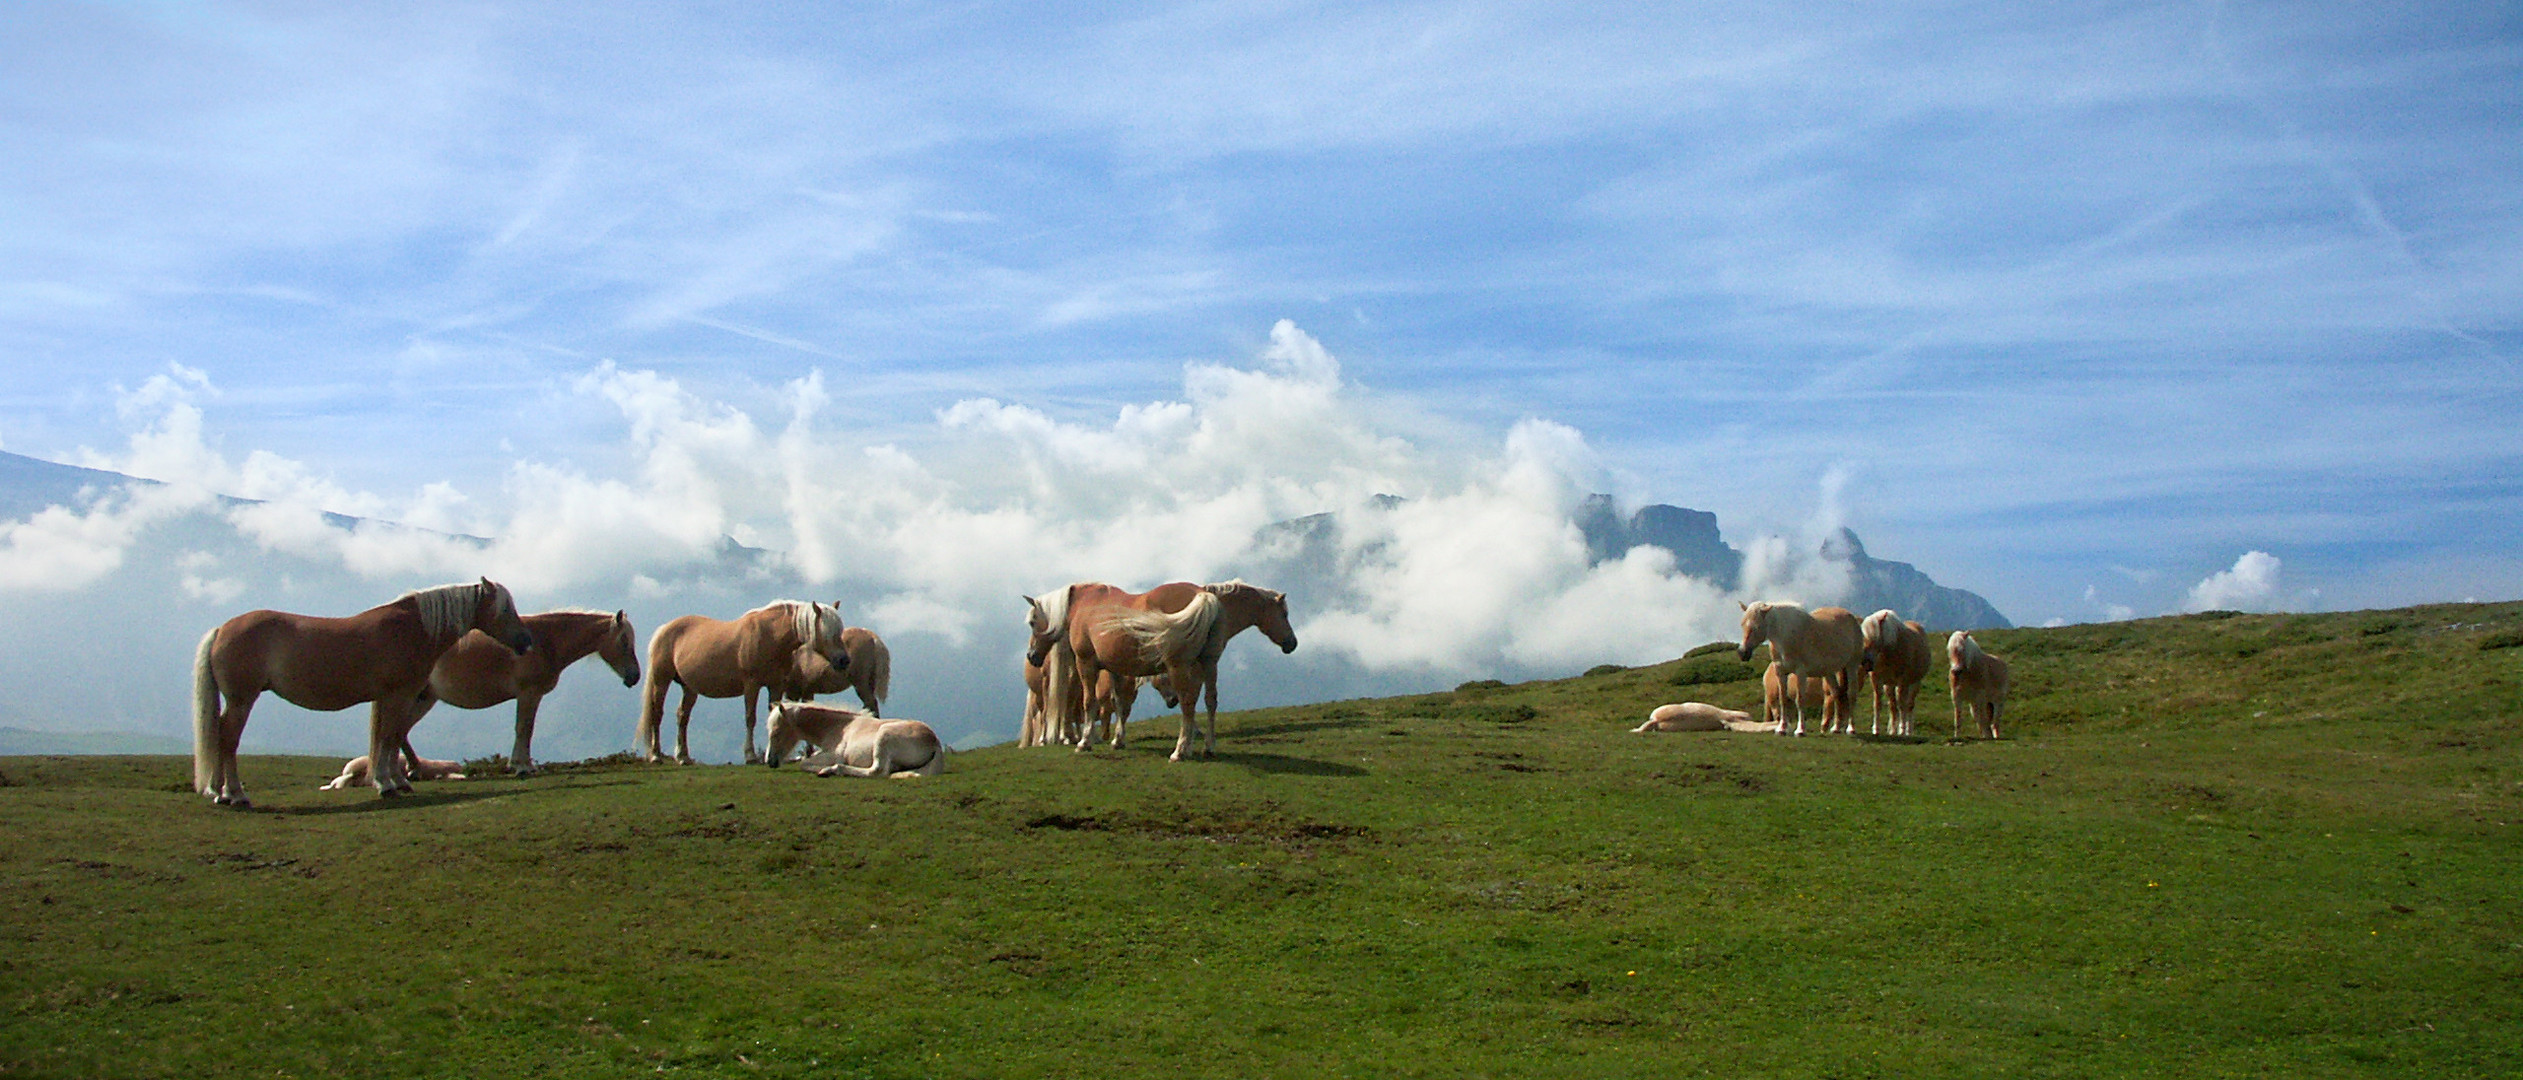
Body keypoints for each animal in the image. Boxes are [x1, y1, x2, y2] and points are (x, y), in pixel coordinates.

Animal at [195, 577, 532, 807]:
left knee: (218, 736)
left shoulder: (388, 697)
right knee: (227, 739)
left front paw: (394, 781)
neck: (412, 628)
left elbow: (389, 737)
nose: (526, 641)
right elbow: (389, 737)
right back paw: (236, 794)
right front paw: (386, 785)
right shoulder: (398, 694)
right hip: (242, 700)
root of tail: (221, 630)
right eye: (505, 609)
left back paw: (220, 793)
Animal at [403, 608, 640, 777]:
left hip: (424, 699)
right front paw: (522, 767)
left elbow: (526, 728)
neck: (544, 642)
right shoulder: (528, 694)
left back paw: (414, 771)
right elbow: (524, 728)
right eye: (624, 640)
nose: (634, 677)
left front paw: (522, 765)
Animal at [640, 598, 847, 767]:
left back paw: (683, 757)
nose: (844, 660)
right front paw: (751, 756)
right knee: (657, 714)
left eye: (840, 631)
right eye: (827, 633)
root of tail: (664, 628)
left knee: (682, 717)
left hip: (689, 687)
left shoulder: (776, 685)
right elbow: (750, 718)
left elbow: (773, 714)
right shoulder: (751, 685)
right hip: (661, 681)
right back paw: (656, 755)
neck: (770, 636)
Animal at [761, 701, 948, 777]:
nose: (770, 761)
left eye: (776, 732)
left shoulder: (833, 754)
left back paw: (831, 770)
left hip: (884, 735)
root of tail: (934, 742)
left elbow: (804, 763)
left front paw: (821, 768)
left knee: (878, 771)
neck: (839, 726)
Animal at [1735, 603, 1877, 736]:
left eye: (1756, 627)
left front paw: (1800, 730)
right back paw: (1836, 728)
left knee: (1851, 694)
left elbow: (1800, 700)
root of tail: (1852, 617)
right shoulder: (1781, 672)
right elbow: (1783, 700)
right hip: (1829, 672)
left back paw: (1851, 729)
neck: (1786, 636)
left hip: (1851, 665)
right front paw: (1782, 729)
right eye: (1742, 624)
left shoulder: (1801, 672)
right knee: (1837, 694)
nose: (1742, 653)